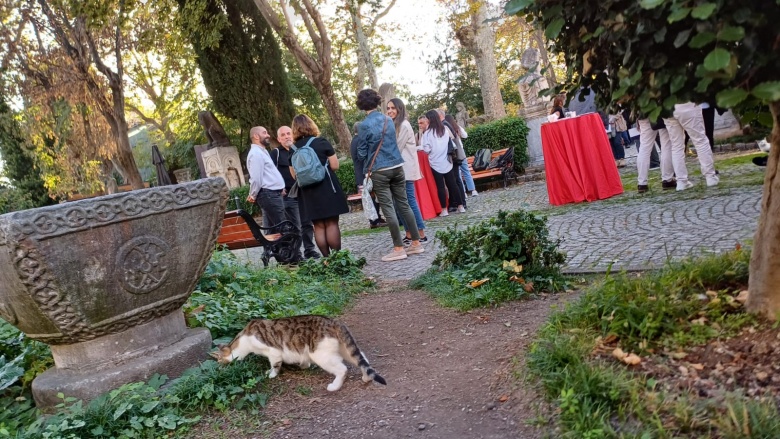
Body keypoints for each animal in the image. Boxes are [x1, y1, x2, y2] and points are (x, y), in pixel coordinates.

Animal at [210, 316, 386, 392]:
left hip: (320, 354)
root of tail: (334, 321)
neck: (243, 339)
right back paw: (366, 377)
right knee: (362, 357)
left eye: (219, 362)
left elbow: (275, 365)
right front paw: (303, 365)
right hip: (344, 348)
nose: (219, 370)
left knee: (343, 369)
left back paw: (335, 386)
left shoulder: (273, 351)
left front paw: (272, 374)